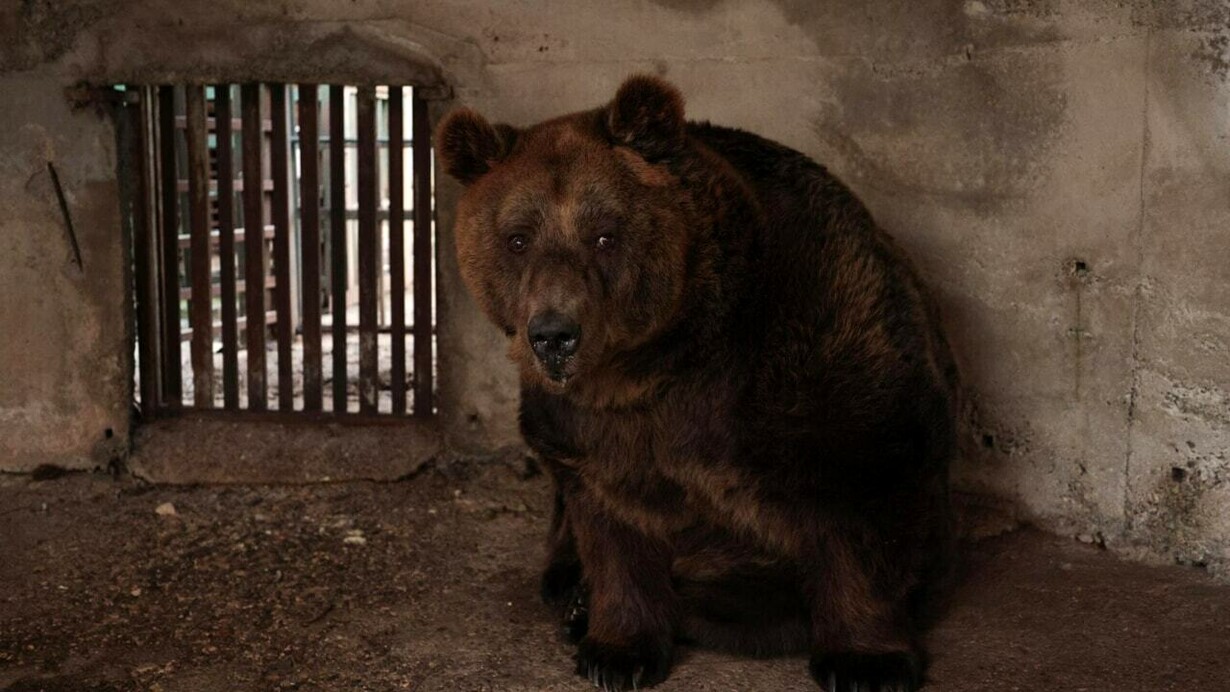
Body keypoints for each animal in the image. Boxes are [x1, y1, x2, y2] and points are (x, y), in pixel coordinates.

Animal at [435, 75, 959, 692]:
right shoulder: (585, 425)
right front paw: (616, 651)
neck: (658, 365)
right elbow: (614, 524)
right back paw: (571, 592)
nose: (554, 335)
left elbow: (861, 479)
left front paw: (866, 663)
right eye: (517, 239)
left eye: (604, 235)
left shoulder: (813, 337)